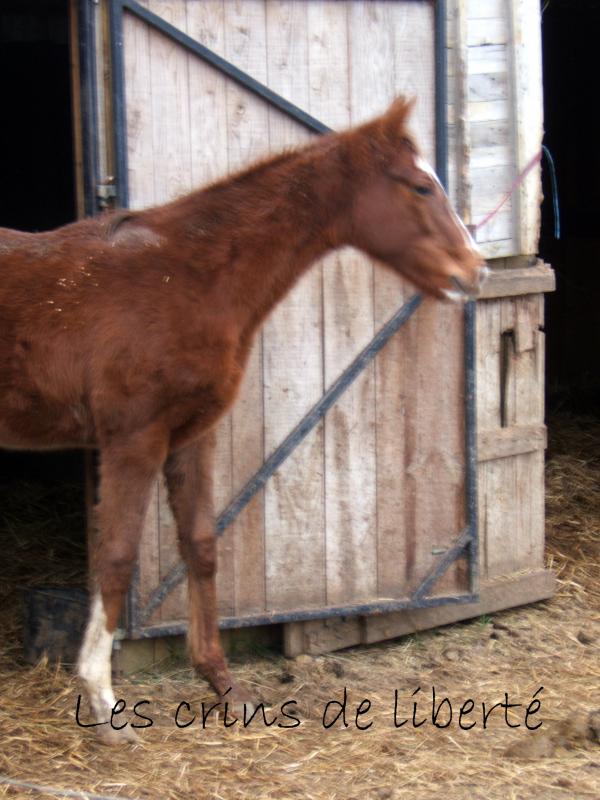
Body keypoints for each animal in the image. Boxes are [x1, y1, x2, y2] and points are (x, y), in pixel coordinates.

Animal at [0, 98, 482, 744]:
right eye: (420, 186)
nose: (474, 272)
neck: (184, 275)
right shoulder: (133, 437)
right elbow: (117, 556)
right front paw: (102, 703)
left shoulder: (191, 435)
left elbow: (202, 545)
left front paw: (223, 684)